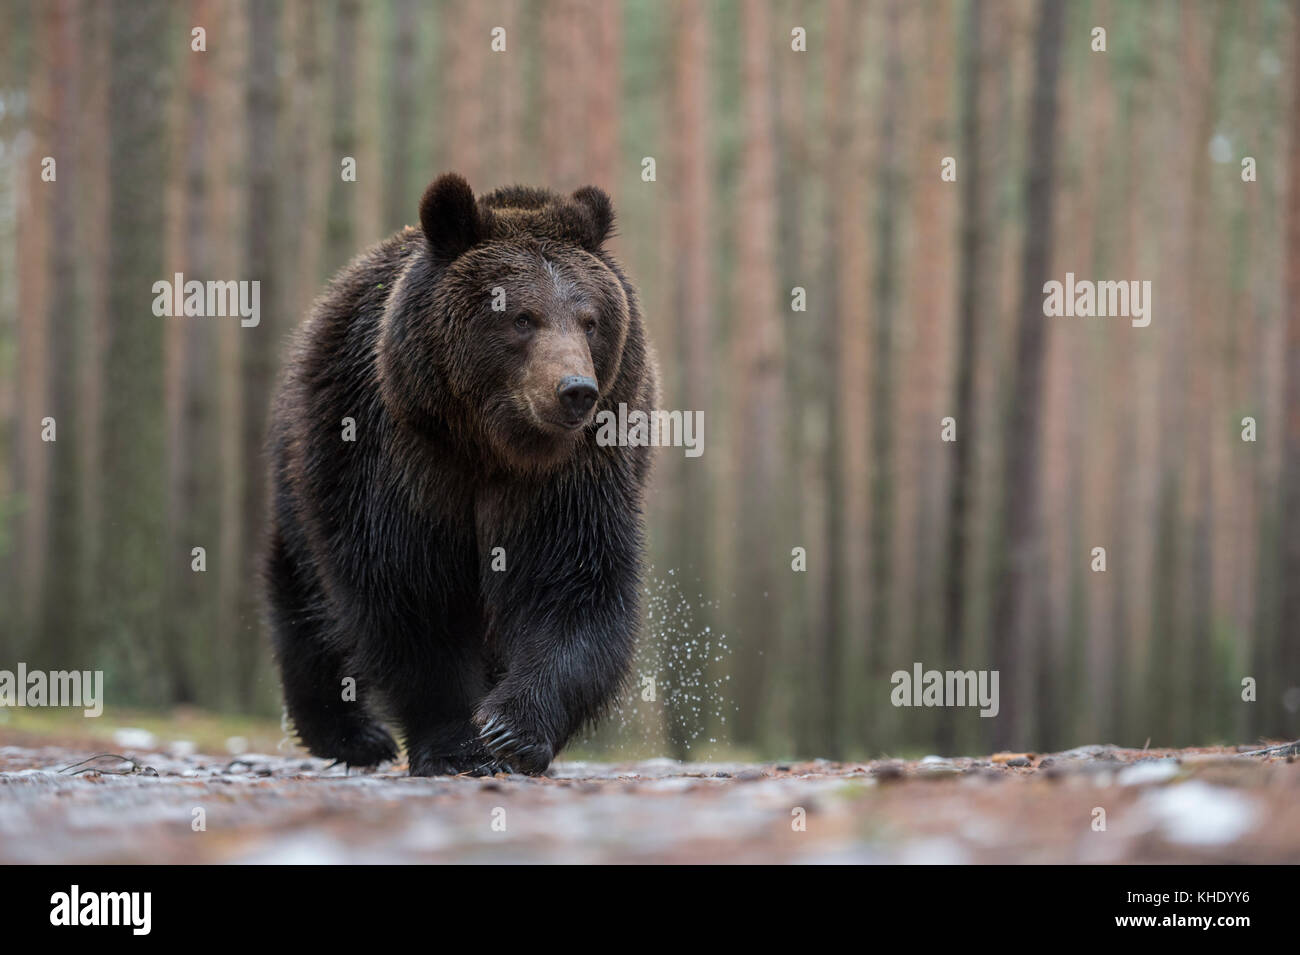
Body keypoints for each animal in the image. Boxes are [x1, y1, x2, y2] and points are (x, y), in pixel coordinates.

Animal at [261, 174, 660, 779]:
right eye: (521, 317)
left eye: (590, 320)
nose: (575, 390)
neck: (491, 445)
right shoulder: (399, 458)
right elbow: (408, 593)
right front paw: (456, 745)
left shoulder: (572, 479)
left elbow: (575, 586)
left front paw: (511, 729)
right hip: (307, 470)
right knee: (306, 600)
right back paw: (354, 735)